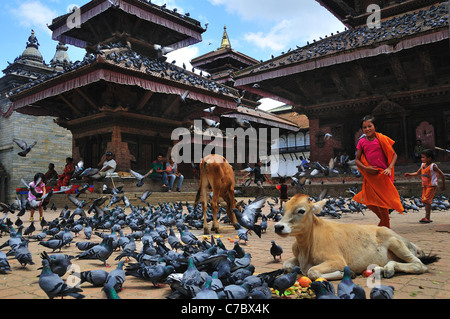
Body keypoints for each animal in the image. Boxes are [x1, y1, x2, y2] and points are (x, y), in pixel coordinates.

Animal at [272, 192, 438, 280]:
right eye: (284, 209)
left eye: (301, 210)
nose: (278, 226)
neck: (306, 246)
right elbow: (286, 265)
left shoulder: (337, 260)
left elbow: (312, 272)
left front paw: (347, 273)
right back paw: (383, 268)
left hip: (396, 243)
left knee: (419, 265)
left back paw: (389, 269)